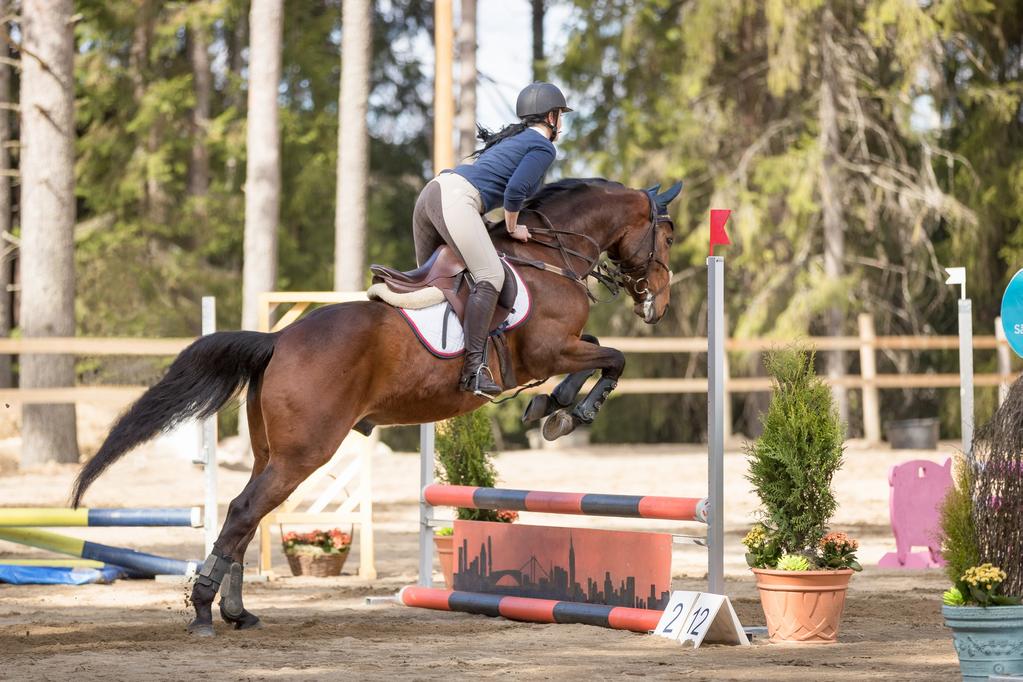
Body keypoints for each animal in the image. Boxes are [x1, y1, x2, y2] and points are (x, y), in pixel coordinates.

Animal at [70, 175, 679, 633]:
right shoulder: (548, 350)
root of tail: (277, 340)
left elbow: (598, 354)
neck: (547, 255)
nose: (658, 305)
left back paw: (237, 612)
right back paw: (203, 612)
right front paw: (568, 413)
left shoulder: (560, 350)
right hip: (304, 454)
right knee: (244, 511)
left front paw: (550, 410)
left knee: (244, 515)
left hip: (271, 454)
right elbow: (613, 358)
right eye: (668, 237)